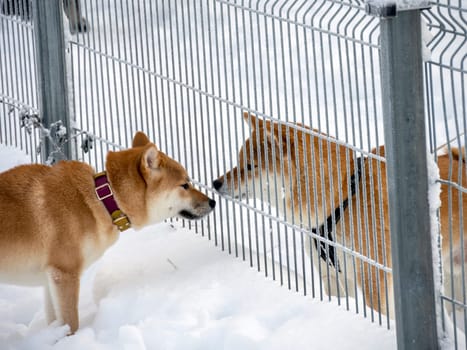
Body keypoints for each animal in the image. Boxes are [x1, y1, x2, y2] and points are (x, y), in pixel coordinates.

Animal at [0, 132, 216, 334]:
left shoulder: (50, 279)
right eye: (185, 185)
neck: (102, 198)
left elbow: (55, 323)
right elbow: (71, 324)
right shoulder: (64, 274)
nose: (213, 202)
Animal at [214, 112, 466, 318]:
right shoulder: (333, 278)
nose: (215, 183)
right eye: (238, 162)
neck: (342, 197)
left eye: (250, 166)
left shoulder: (374, 282)